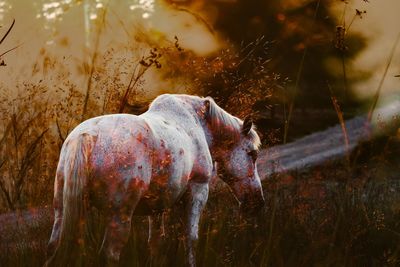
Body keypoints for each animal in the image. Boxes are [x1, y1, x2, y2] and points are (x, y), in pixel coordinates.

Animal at [45, 94, 266, 267]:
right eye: (252, 154)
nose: (257, 203)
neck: (197, 124)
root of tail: (87, 136)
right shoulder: (198, 191)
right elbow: (191, 239)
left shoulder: (157, 207)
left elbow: (156, 244)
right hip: (119, 216)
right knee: (109, 254)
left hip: (61, 211)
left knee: (52, 249)